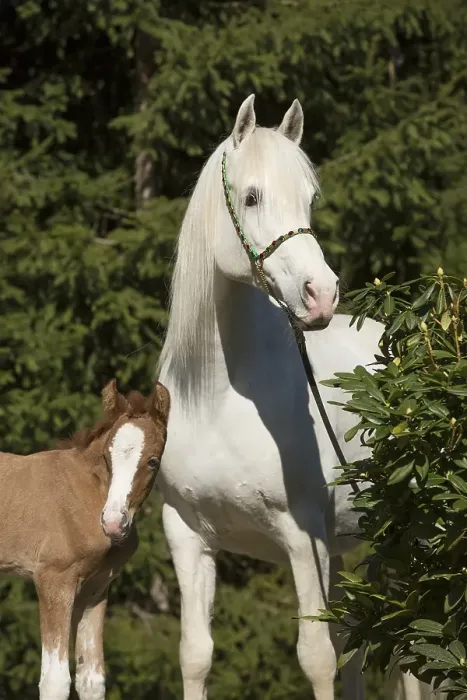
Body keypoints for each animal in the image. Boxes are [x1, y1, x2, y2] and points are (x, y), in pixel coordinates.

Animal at [0, 379, 170, 700]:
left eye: (153, 462)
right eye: (106, 457)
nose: (113, 524)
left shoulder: (95, 589)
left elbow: (91, 678)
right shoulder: (54, 581)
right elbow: (55, 680)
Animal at [158, 94, 425, 700]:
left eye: (309, 198)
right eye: (252, 196)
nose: (321, 294)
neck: (217, 398)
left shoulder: (304, 540)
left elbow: (316, 658)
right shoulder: (187, 536)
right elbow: (195, 656)